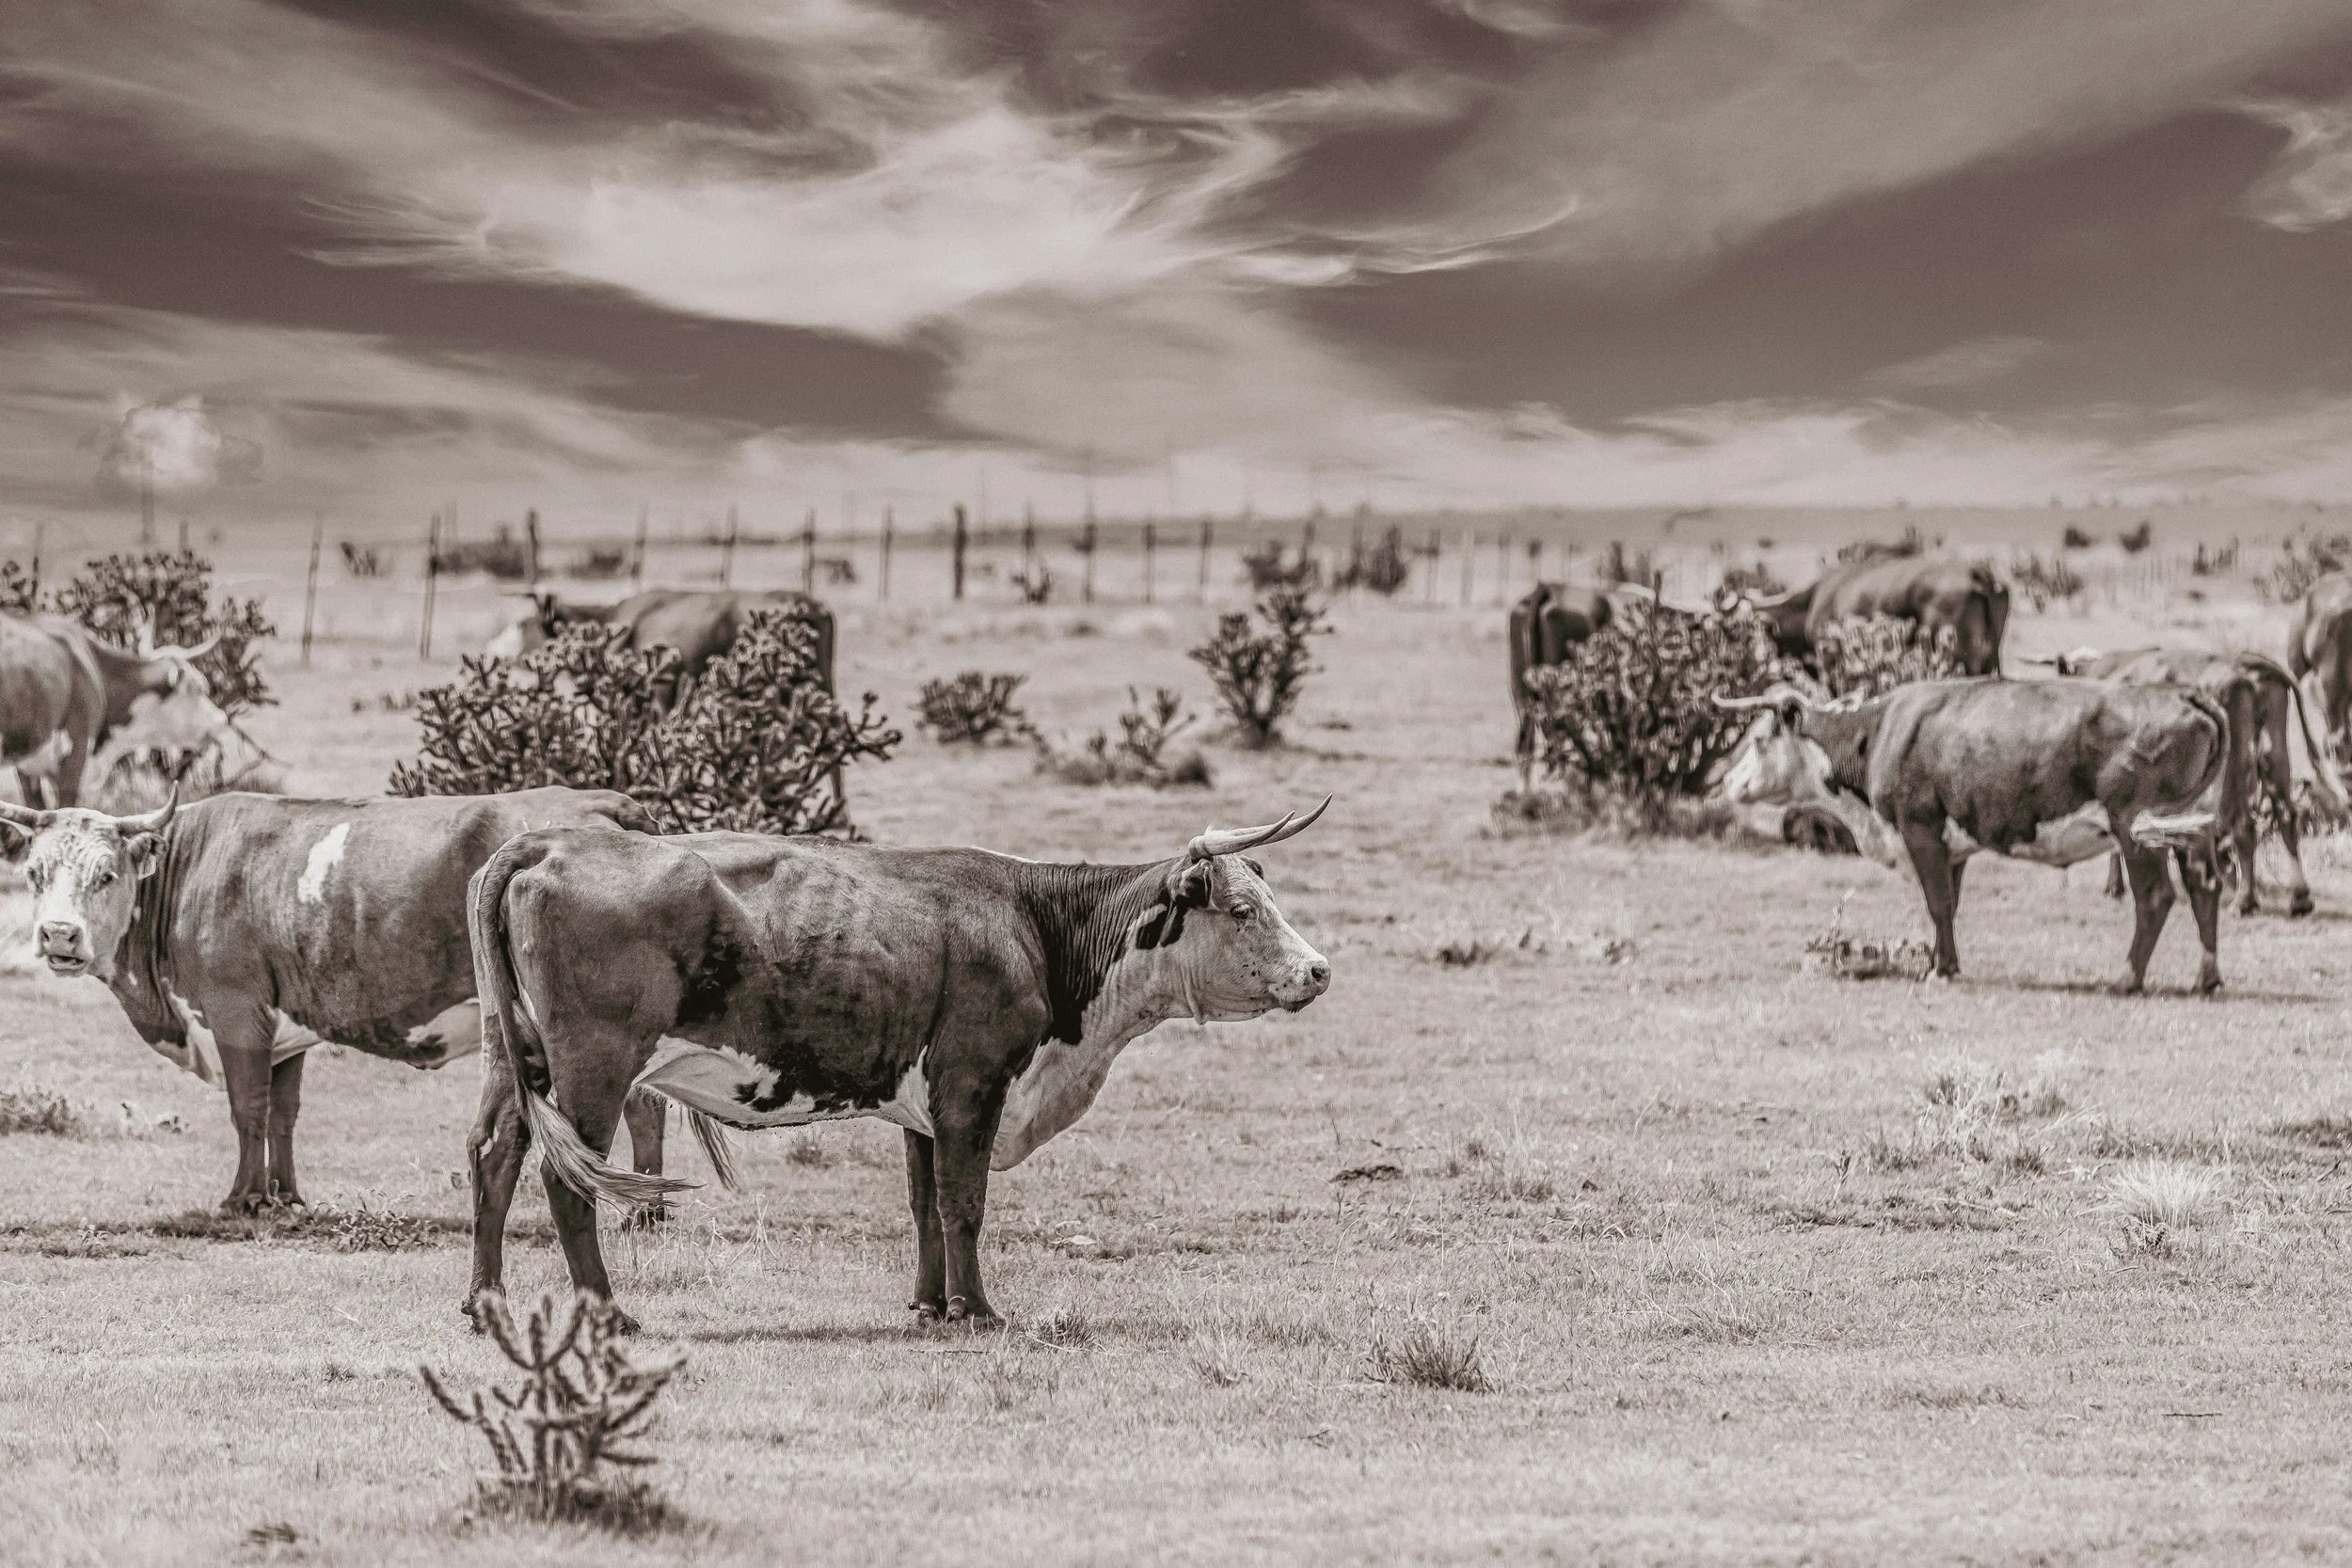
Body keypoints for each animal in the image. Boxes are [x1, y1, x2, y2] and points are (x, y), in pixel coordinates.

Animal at [0, 785, 705, 1216]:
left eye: (105, 874)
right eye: (35, 874)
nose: (58, 934)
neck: (191, 867)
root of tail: (605, 802)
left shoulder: (235, 1012)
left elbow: (247, 1109)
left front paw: (241, 1200)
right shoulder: (282, 1025)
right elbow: (282, 1113)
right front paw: (284, 1196)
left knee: (640, 1105)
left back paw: (640, 1209)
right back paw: (648, 1208)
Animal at [463, 801, 1335, 1330]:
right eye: (1243, 909)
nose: (1319, 969)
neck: (1033, 923)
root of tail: (549, 839)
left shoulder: (924, 1106)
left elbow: (924, 1205)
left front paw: (929, 1305)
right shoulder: (972, 1088)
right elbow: (963, 1203)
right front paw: (977, 1308)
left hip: (514, 1057)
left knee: (495, 1157)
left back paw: (485, 1299)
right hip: (595, 1066)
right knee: (563, 1180)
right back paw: (606, 1310)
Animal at [1716, 679, 2228, 993]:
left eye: (1759, 739)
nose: (1728, 782)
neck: (1875, 735)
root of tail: (2184, 694)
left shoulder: (1920, 828)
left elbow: (1937, 902)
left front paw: (1939, 971)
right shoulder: (1952, 847)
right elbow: (1950, 904)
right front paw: (1943, 962)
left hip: (2135, 828)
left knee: (2155, 896)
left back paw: (2126, 978)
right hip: (2191, 826)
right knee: (2205, 886)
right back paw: (2206, 978)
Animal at [2040, 648, 2350, 916]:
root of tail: (2244, 665)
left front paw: (2115, 887)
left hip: (2233, 765)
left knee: (2243, 824)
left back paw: (2243, 902)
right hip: (2273, 751)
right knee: (2286, 816)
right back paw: (2300, 899)